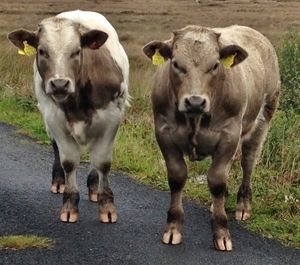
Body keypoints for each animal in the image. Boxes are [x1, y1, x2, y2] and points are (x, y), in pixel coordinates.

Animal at [8, 9, 129, 222]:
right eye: (42, 51)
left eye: (77, 51)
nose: (59, 84)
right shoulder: (55, 119)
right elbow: (69, 162)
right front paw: (70, 205)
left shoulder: (111, 118)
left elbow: (102, 162)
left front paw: (107, 206)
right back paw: (58, 181)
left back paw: (94, 187)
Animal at [143, 24, 278, 250]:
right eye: (176, 64)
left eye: (215, 65)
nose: (195, 101)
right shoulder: (164, 133)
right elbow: (177, 178)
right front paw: (173, 228)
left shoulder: (229, 136)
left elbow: (217, 181)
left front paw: (221, 233)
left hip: (263, 120)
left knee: (248, 162)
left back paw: (243, 205)